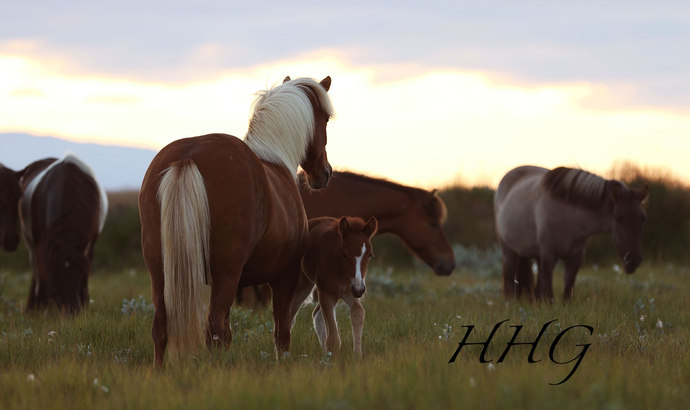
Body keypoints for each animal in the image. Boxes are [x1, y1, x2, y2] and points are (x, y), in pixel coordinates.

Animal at [19, 155, 109, 312]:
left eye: (78, 274)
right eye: (55, 276)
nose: (72, 311)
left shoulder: (89, 244)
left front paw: (85, 303)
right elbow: (41, 273)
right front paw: (39, 305)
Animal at [137, 76, 334, 366]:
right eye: (326, 120)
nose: (325, 174)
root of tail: (188, 156)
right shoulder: (284, 276)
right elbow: (281, 332)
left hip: (160, 271)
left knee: (162, 325)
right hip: (226, 274)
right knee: (214, 327)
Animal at [288, 218, 376, 356]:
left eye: (369, 255)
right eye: (344, 254)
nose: (359, 289)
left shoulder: (350, 291)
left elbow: (358, 313)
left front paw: (357, 355)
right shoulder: (326, 294)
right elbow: (333, 339)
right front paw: (334, 358)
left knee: (316, 315)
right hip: (303, 284)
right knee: (290, 315)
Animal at [492, 165, 648, 302]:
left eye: (643, 218)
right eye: (619, 218)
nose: (634, 261)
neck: (569, 217)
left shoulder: (575, 258)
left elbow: (567, 295)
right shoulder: (549, 256)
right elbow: (548, 295)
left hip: (535, 255)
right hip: (510, 252)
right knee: (510, 284)